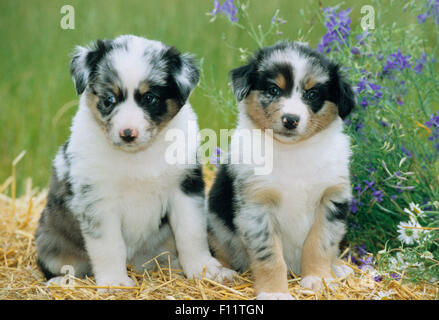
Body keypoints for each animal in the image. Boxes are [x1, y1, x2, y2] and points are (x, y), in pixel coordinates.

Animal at [208, 40, 356, 300]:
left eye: (312, 94)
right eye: (274, 90)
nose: (290, 119)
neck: (293, 151)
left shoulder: (332, 197)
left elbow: (320, 244)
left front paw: (319, 280)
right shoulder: (256, 205)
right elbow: (270, 257)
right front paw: (274, 292)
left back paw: (338, 267)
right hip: (215, 220)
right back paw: (223, 272)